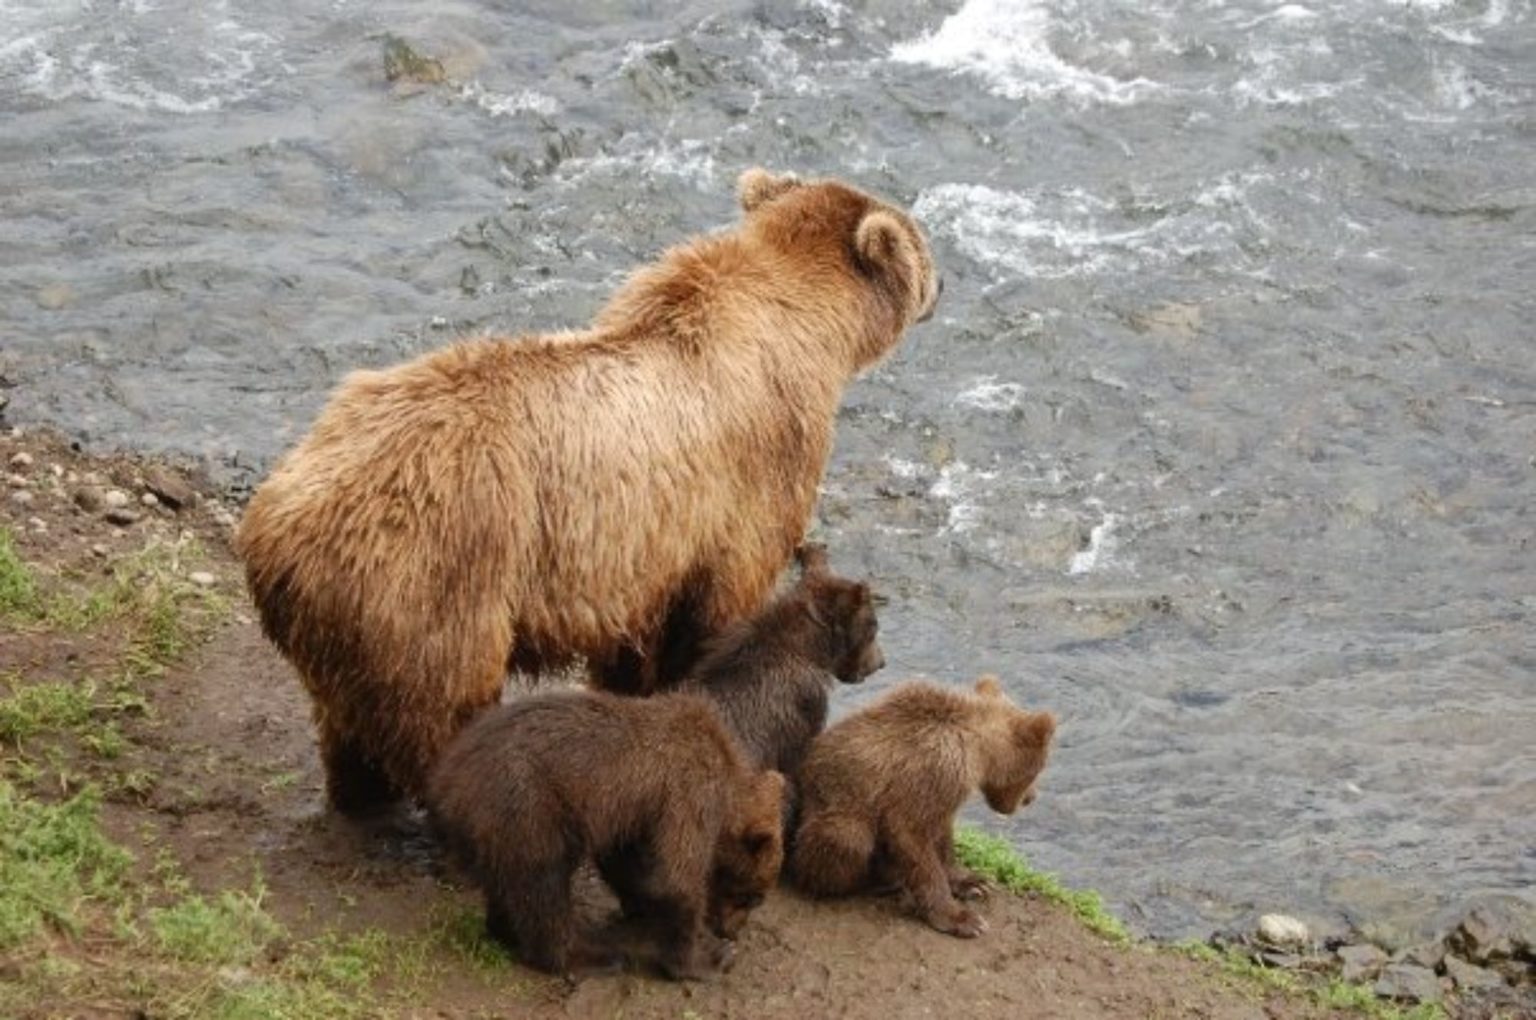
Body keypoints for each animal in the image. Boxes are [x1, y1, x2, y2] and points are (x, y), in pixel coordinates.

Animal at [426, 688, 785, 980]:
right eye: (753, 896)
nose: (732, 932)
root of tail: (446, 779)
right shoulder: (689, 793)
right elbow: (676, 877)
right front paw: (703, 959)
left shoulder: (637, 815)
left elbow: (630, 864)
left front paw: (642, 909)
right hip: (528, 802)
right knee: (544, 883)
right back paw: (587, 957)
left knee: (510, 881)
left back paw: (505, 930)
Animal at [790, 676, 1055, 939]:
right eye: (1039, 768)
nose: (1031, 798)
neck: (974, 750)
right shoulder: (927, 773)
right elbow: (912, 837)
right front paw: (963, 919)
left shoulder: (945, 790)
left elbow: (942, 833)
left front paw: (973, 882)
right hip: (832, 806)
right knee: (845, 837)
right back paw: (877, 880)